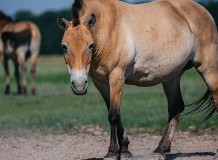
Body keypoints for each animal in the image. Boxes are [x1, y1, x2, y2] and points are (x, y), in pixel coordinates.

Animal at [57, 0, 218, 158]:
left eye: (90, 45)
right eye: (64, 46)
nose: (79, 85)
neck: (108, 29)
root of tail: (203, 11)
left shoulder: (117, 77)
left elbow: (113, 115)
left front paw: (111, 152)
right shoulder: (100, 82)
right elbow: (115, 113)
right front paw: (125, 150)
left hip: (207, 69)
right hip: (172, 76)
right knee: (176, 107)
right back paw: (160, 149)